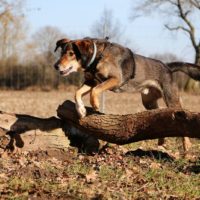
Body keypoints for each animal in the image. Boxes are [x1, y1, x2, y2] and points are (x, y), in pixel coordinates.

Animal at [54, 36, 200, 152]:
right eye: (61, 53)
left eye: (71, 53)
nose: (56, 66)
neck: (97, 56)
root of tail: (168, 67)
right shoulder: (92, 81)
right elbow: (77, 92)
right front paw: (81, 110)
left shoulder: (114, 79)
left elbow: (95, 91)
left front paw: (95, 104)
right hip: (149, 102)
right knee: (159, 116)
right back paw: (161, 141)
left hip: (170, 98)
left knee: (181, 116)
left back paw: (186, 144)